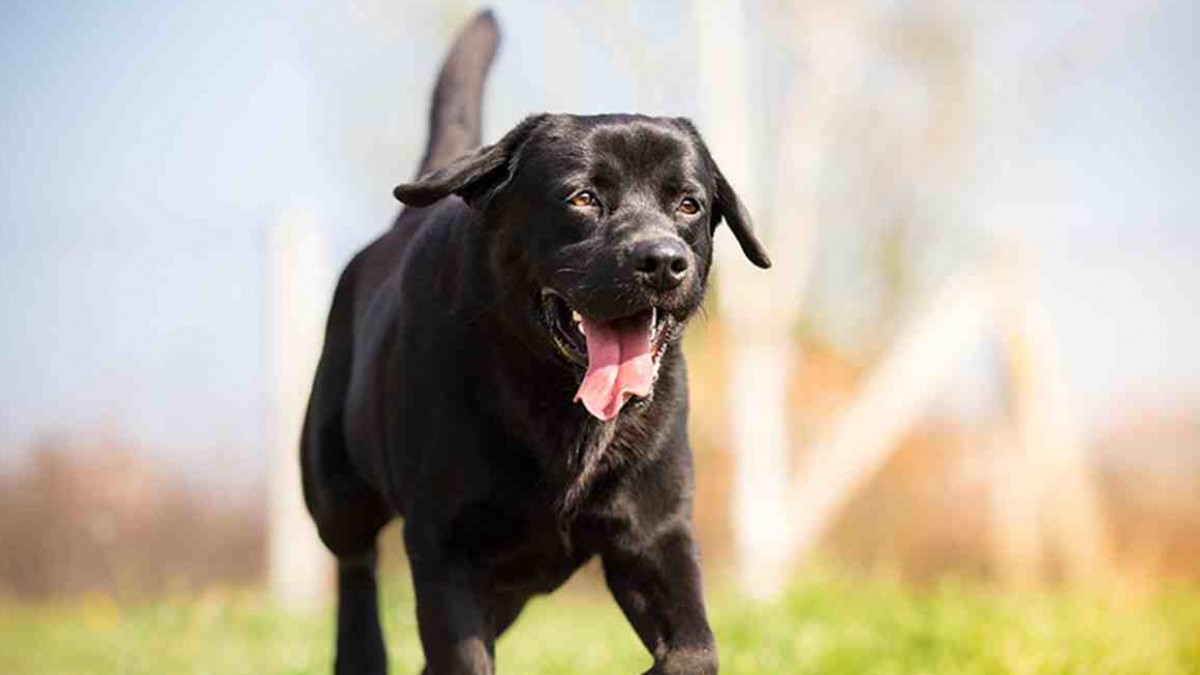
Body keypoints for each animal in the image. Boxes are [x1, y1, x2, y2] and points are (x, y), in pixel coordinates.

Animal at [301, 10, 770, 675]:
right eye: (583, 198)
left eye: (688, 204)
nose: (662, 260)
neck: (561, 407)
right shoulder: (447, 550)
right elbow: (463, 657)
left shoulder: (655, 534)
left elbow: (694, 649)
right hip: (333, 482)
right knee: (354, 562)